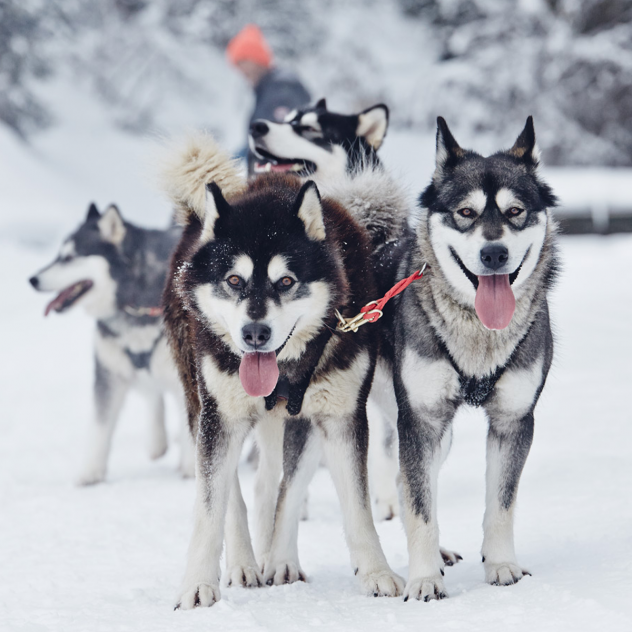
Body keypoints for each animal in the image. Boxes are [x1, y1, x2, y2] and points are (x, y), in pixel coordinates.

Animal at [160, 136, 402, 608]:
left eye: (286, 282)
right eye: (234, 280)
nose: (255, 333)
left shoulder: (340, 417)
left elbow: (353, 505)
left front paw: (376, 573)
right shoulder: (220, 418)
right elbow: (210, 508)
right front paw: (197, 584)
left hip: (296, 419)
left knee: (275, 485)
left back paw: (278, 558)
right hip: (204, 408)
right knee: (233, 496)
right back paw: (243, 564)